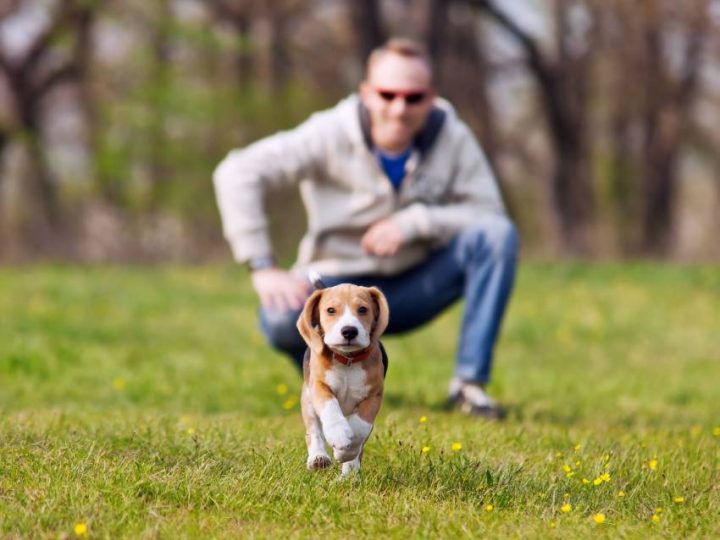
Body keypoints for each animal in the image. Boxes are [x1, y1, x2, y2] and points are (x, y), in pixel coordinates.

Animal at [296, 282, 390, 476]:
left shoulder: (374, 396)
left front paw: (345, 452)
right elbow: (330, 408)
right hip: (307, 400)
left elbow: (360, 426)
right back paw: (318, 458)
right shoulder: (319, 386)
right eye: (331, 310)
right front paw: (338, 434)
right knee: (313, 431)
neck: (348, 360)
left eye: (363, 309)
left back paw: (349, 473)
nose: (349, 331)